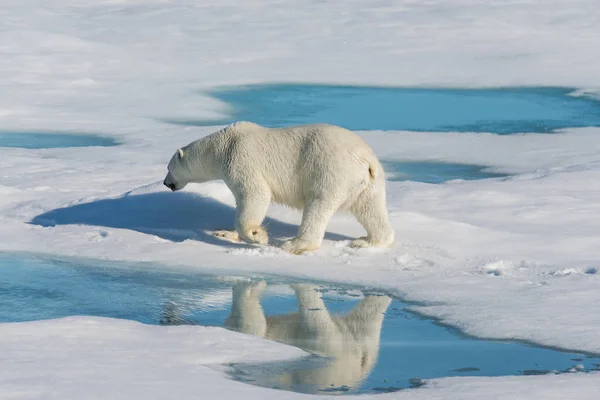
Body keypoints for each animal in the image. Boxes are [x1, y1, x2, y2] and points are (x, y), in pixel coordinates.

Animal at [164, 120, 396, 255]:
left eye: (168, 167)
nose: (166, 183)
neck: (223, 145)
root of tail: (366, 159)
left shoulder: (241, 158)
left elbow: (255, 195)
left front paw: (258, 235)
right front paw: (224, 233)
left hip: (331, 171)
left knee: (318, 206)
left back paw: (294, 244)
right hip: (368, 182)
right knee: (370, 209)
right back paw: (366, 242)